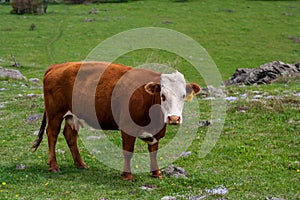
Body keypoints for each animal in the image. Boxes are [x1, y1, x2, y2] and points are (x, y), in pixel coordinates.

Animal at [31, 61, 200, 181]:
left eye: (183, 96)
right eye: (163, 95)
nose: (174, 118)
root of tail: (57, 66)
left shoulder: (156, 132)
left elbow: (154, 151)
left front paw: (156, 173)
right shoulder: (127, 128)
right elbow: (128, 152)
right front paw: (127, 175)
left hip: (72, 115)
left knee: (70, 135)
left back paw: (81, 164)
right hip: (55, 113)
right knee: (52, 134)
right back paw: (53, 166)